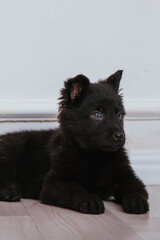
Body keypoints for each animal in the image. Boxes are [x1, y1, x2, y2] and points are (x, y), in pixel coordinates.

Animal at [0, 71, 149, 214]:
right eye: (96, 114)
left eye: (119, 115)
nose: (120, 136)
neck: (95, 156)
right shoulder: (55, 182)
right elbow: (76, 190)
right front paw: (90, 200)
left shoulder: (128, 177)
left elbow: (134, 188)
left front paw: (137, 201)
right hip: (8, 156)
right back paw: (9, 192)